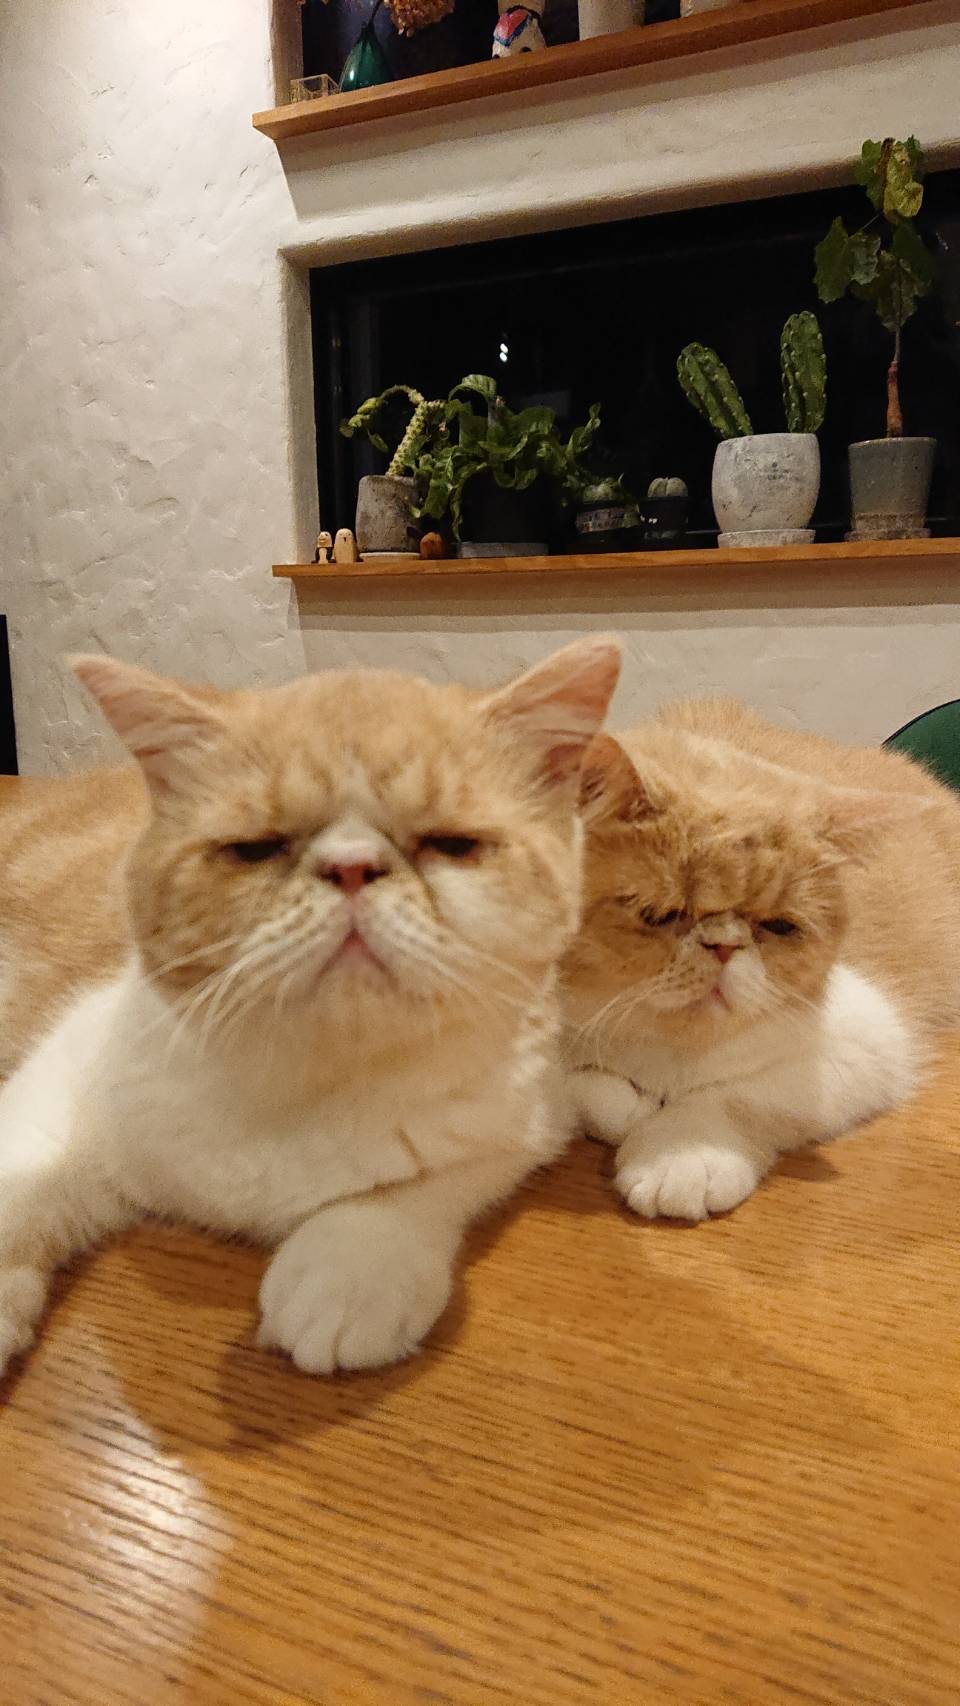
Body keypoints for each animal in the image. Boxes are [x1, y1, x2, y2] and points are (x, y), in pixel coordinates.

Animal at [0, 638, 621, 1378]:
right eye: (255, 847)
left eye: (451, 843)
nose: (351, 866)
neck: (312, 1082)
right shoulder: (65, 1076)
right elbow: (20, 1187)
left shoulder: (525, 1116)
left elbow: (426, 1181)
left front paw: (349, 1266)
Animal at [563, 697, 960, 1221]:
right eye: (661, 914)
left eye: (778, 926)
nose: (724, 946)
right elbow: (576, 1084)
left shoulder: (865, 1042)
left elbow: (737, 1095)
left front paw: (682, 1151)